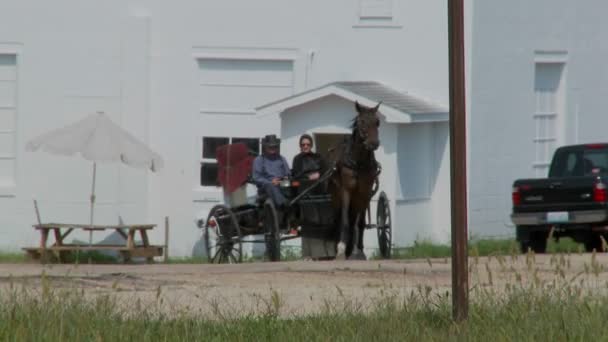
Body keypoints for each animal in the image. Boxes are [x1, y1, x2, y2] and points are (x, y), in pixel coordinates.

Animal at [328, 101, 380, 260]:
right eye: (361, 122)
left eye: (377, 122)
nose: (373, 143)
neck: (358, 163)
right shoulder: (346, 190)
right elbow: (344, 221)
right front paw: (341, 249)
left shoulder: (365, 193)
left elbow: (358, 223)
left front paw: (357, 251)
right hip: (336, 198)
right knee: (339, 219)